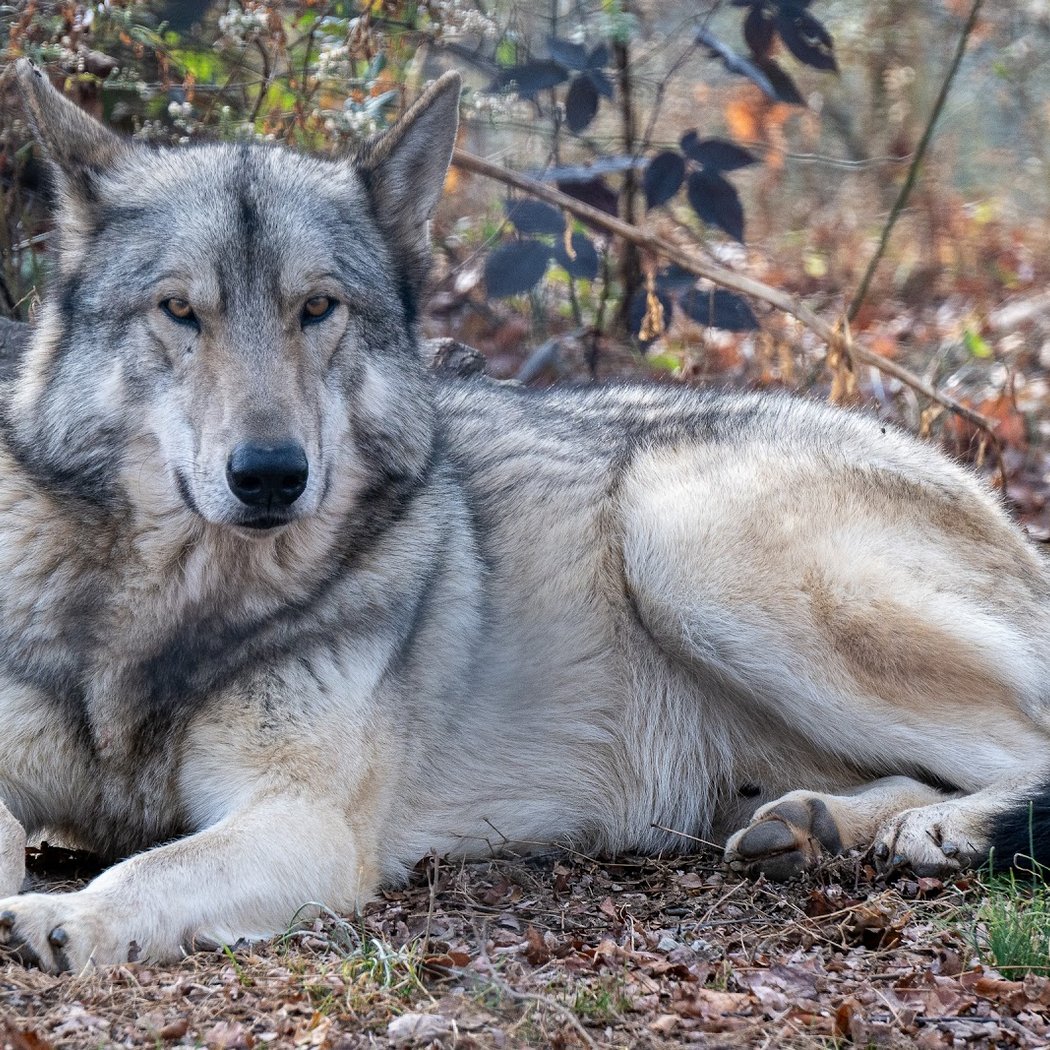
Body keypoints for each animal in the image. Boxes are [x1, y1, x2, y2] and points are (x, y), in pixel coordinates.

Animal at [0, 58, 1049, 974]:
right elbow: (17, 827)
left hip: (682, 538)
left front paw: (70, 920)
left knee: (1024, 751)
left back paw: (940, 830)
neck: (171, 615)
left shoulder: (304, 822)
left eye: (318, 309)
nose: (269, 475)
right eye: (181, 311)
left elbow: (153, 865)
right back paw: (825, 826)